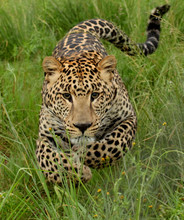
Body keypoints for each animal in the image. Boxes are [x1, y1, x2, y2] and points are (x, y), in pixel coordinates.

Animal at [35, 4, 170, 184]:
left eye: (95, 95)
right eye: (66, 96)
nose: (82, 126)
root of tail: (78, 31)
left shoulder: (128, 118)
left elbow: (110, 145)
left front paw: (80, 156)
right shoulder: (45, 135)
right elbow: (47, 159)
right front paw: (75, 172)